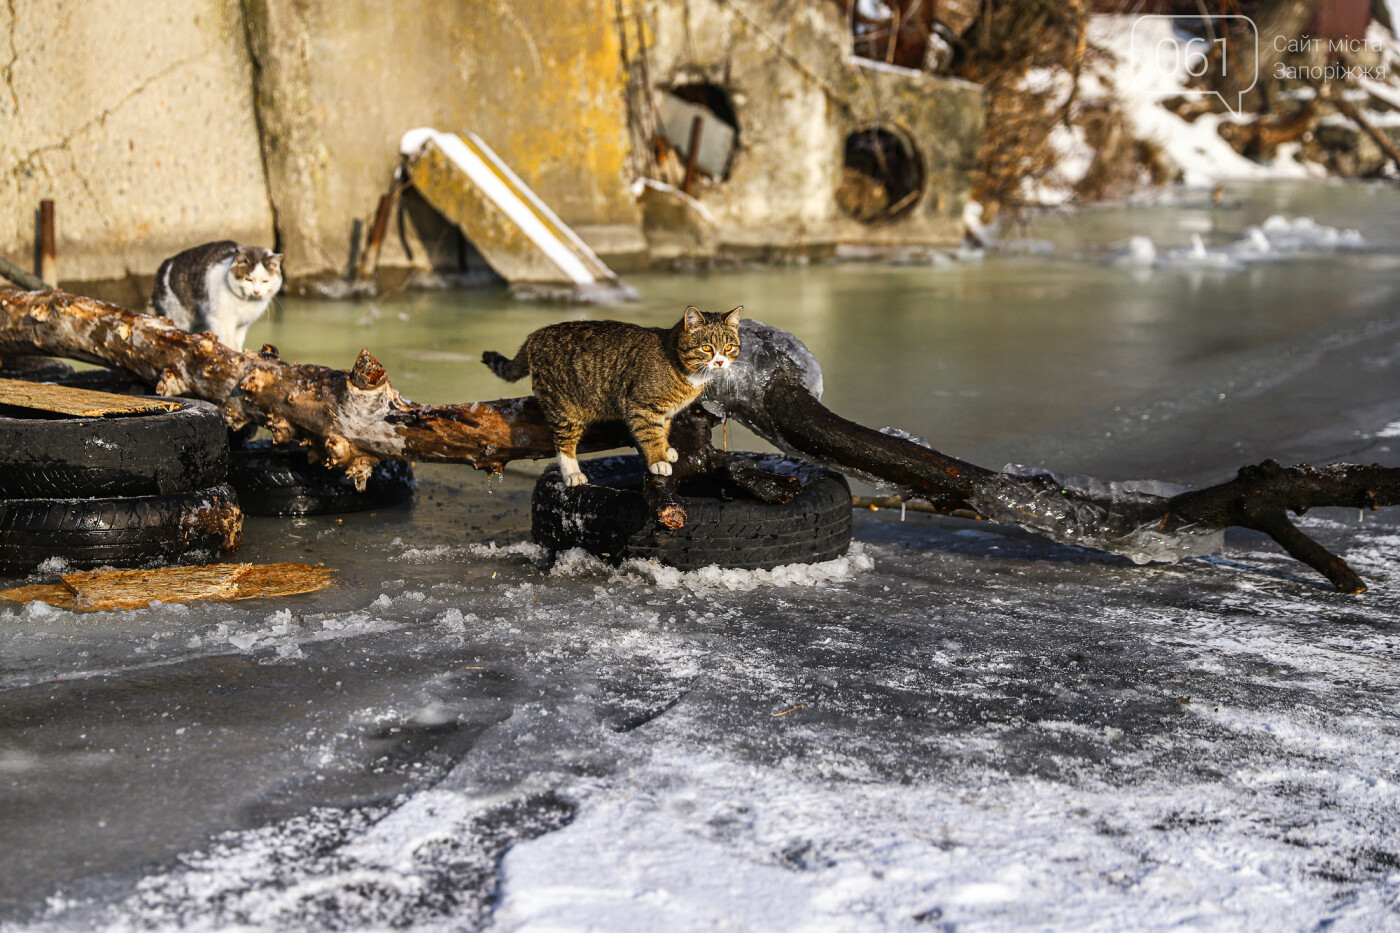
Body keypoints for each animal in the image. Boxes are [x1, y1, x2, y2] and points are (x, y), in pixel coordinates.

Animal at [149, 239, 282, 348]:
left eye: (265, 281)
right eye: (248, 279)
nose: (256, 291)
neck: (246, 302)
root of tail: (165, 264)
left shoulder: (242, 325)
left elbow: (237, 343)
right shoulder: (220, 320)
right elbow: (227, 342)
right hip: (177, 315)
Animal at [484, 306, 744, 487]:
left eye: (728, 348)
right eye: (707, 348)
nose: (720, 362)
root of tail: (535, 335)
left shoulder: (666, 411)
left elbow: (663, 429)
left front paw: (666, 448)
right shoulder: (641, 406)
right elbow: (650, 435)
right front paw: (658, 459)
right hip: (565, 409)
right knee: (563, 443)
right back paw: (572, 473)